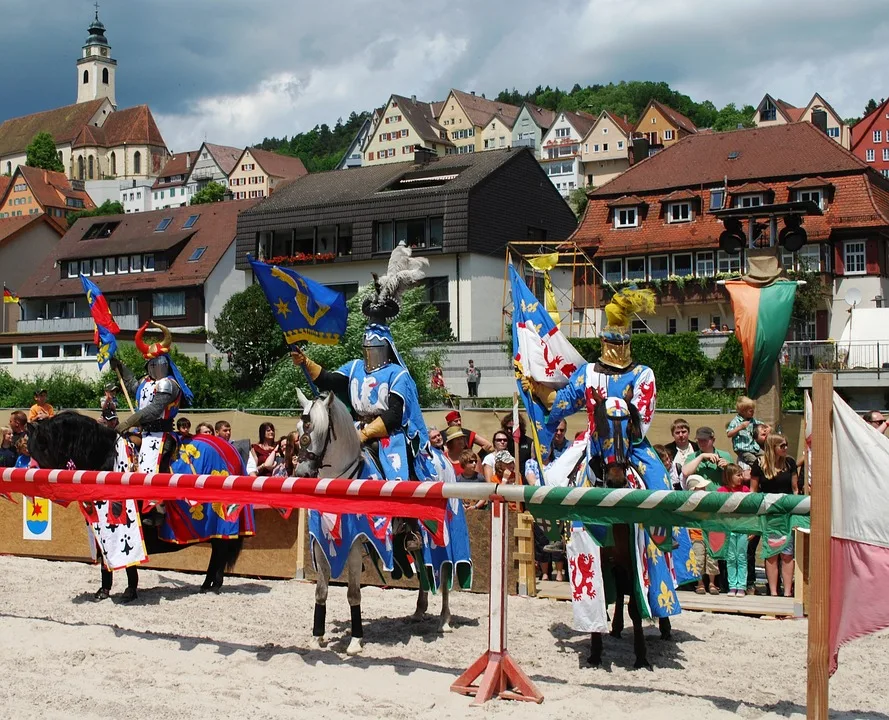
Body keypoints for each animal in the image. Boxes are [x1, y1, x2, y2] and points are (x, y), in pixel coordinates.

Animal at [27, 410, 245, 600]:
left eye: (44, 447)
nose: (42, 488)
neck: (106, 459)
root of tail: (229, 450)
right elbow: (105, 557)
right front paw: (103, 590)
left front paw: (130, 591)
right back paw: (208, 584)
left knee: (219, 550)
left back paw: (213, 584)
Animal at [294, 390, 462, 656]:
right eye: (299, 428)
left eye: (319, 430)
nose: (302, 474)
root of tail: (441, 457)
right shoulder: (321, 544)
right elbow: (321, 591)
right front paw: (316, 637)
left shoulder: (353, 546)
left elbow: (353, 594)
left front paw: (355, 641)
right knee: (422, 564)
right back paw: (419, 610)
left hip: (440, 535)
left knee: (443, 572)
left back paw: (444, 620)